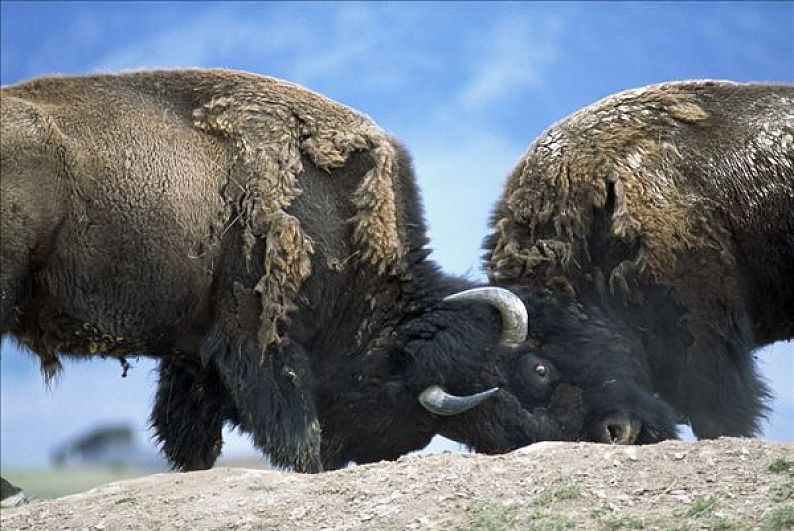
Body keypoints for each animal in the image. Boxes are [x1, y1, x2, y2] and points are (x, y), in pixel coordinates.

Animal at [0, 69, 624, 486]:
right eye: (538, 370)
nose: (613, 431)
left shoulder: (193, 356)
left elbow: (189, 439)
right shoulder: (263, 348)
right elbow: (298, 437)